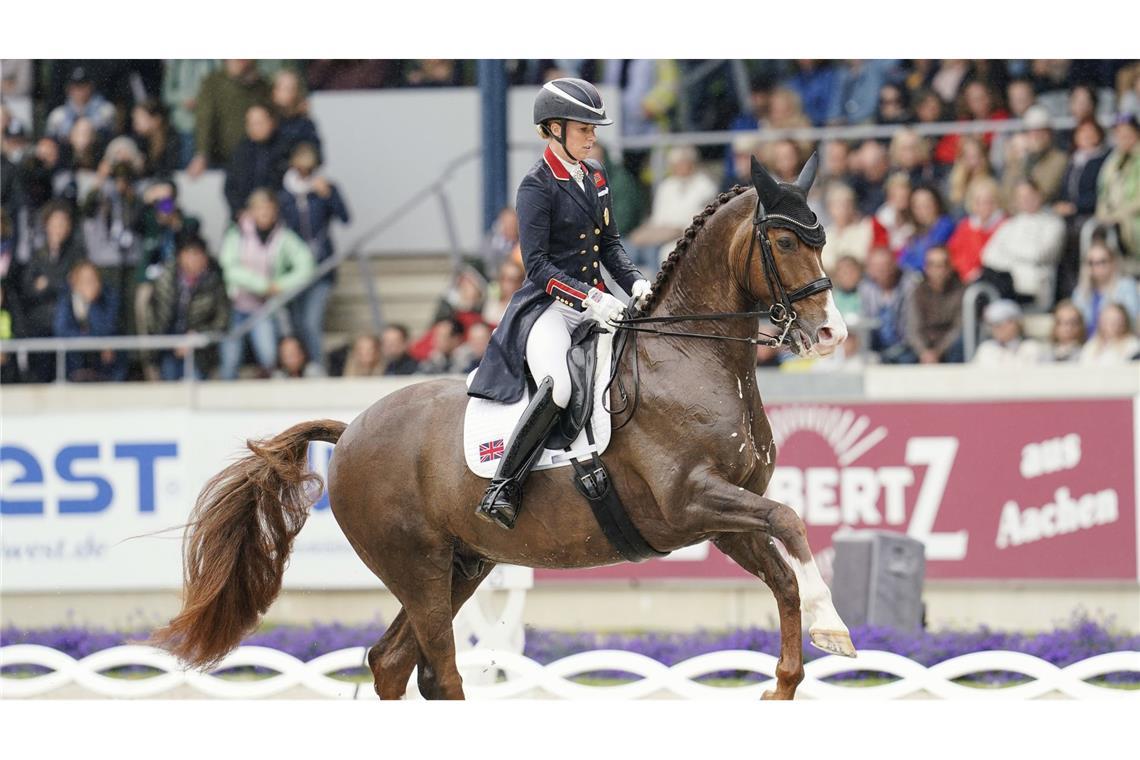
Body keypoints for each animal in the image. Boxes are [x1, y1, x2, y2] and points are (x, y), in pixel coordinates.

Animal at [156, 159, 857, 701]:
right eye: (786, 243)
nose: (832, 334)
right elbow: (791, 522)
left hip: (463, 564)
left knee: (395, 664)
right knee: (438, 670)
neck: (687, 355)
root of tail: (352, 429)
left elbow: (783, 573)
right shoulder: (691, 501)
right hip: (418, 567)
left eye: (822, 239)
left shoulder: (722, 517)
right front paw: (836, 627)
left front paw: (790, 674)